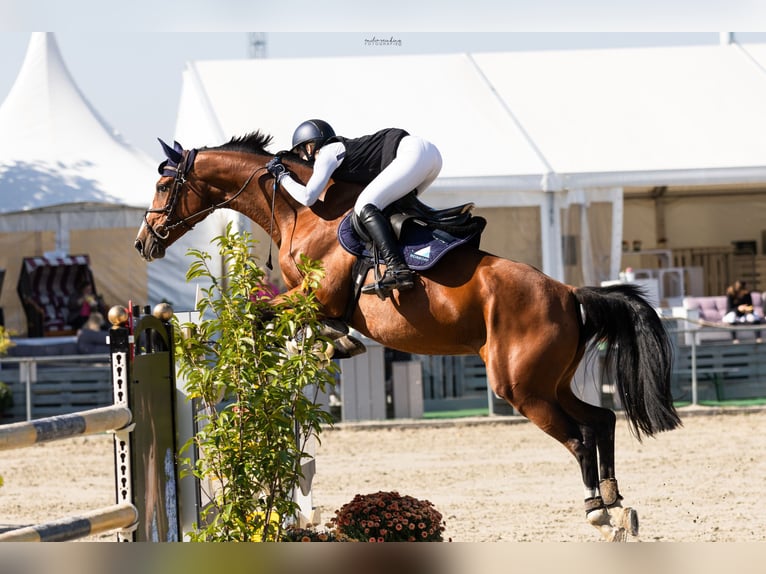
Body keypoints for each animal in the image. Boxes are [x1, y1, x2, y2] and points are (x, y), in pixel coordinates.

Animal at [135, 133, 680, 544]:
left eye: (163, 184)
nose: (143, 243)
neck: (303, 213)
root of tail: (568, 292)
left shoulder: (312, 296)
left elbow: (257, 313)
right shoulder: (308, 301)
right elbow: (288, 323)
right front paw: (337, 344)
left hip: (522, 387)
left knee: (578, 437)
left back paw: (597, 510)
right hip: (551, 382)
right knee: (601, 420)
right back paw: (615, 501)